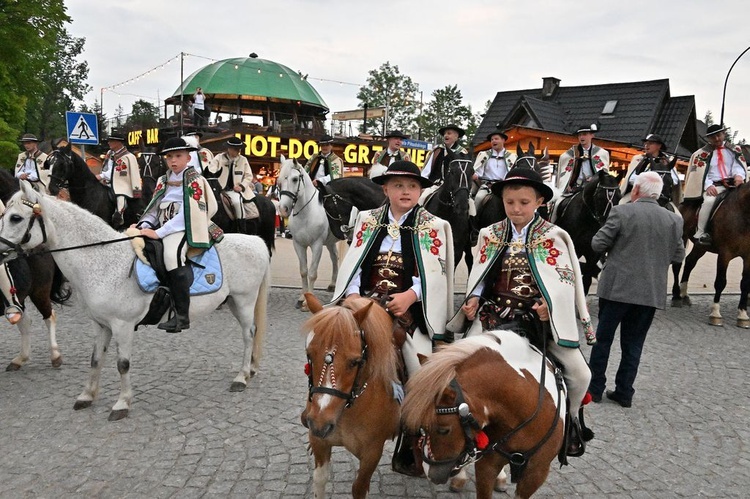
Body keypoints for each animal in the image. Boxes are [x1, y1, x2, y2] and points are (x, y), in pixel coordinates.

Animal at [0, 172, 72, 372]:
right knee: (25, 322)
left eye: (14, 218)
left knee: (49, 316)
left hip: (39, 291)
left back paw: (55, 355)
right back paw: (20, 359)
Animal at [278, 156, 340, 312]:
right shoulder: (299, 245)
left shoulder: (316, 245)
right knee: (334, 258)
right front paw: (302, 298)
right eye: (279, 180)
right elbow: (303, 271)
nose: (283, 209)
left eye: (295, 179)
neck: (306, 213)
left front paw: (308, 302)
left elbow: (312, 273)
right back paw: (333, 285)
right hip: (330, 242)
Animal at [302, 294, 402, 498]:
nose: (320, 424)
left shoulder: (372, 453)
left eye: (354, 362)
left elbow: (359, 488)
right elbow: (320, 479)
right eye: (310, 354)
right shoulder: (319, 441)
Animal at [672, 184, 750, 328]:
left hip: (701, 247)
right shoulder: (725, 254)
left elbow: (745, 283)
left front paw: (742, 315)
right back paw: (676, 296)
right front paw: (715, 314)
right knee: (677, 265)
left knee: (690, 262)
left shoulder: (748, 257)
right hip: (682, 238)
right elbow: (720, 282)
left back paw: (684, 293)